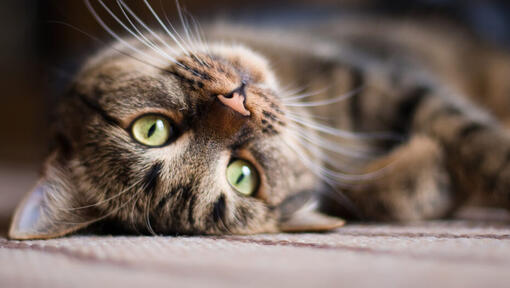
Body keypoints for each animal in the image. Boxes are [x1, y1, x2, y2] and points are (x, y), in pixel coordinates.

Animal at [6, 1, 510, 240]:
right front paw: (423, 174)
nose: (238, 102)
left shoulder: (377, 79)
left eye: (151, 129)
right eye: (243, 175)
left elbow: (476, 139)